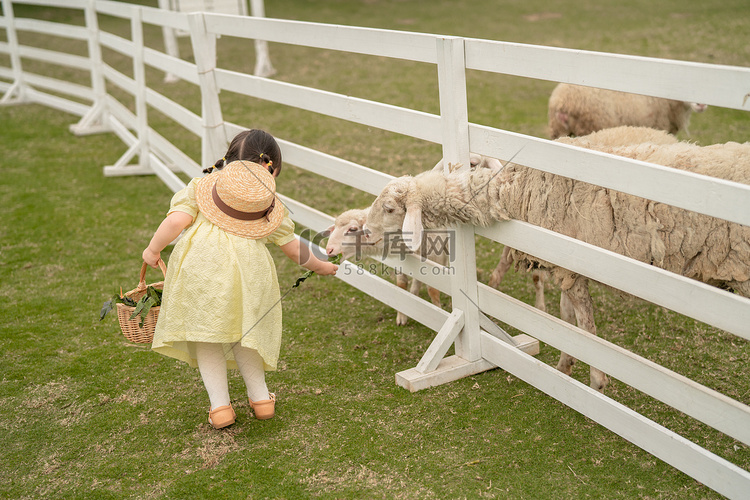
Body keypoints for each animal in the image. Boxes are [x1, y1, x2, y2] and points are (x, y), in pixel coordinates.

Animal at [362, 125, 748, 390]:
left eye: (390, 207)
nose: (364, 230)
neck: (516, 191)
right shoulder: (565, 265)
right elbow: (566, 321)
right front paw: (565, 366)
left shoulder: (571, 266)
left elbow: (586, 327)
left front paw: (597, 381)